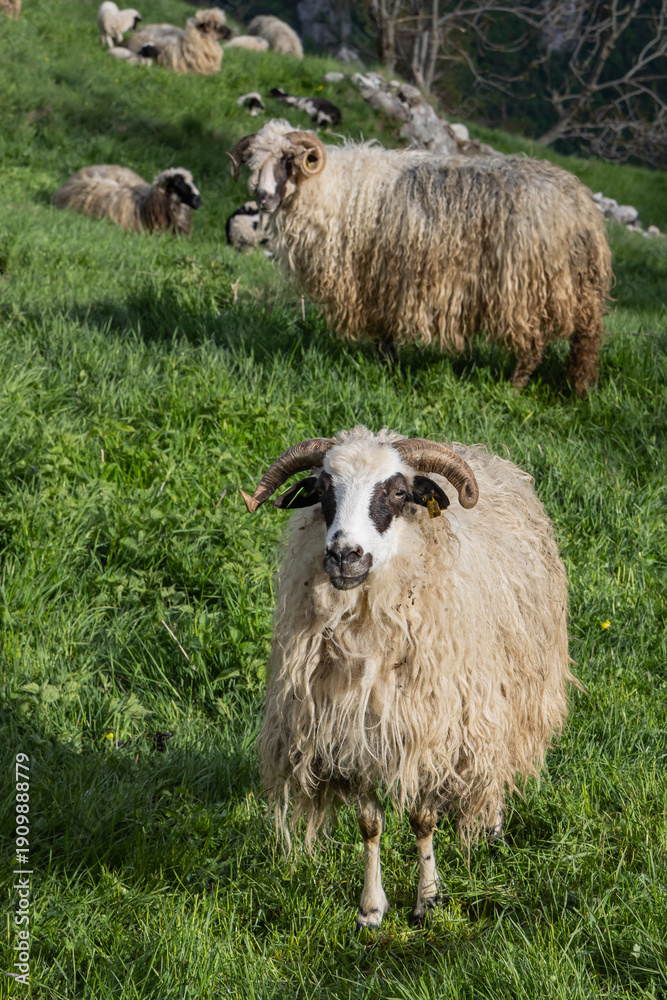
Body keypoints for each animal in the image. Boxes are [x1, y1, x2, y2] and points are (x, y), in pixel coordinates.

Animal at [228, 120, 612, 396]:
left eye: (287, 160)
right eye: (253, 163)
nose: (263, 198)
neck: (332, 192)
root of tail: (579, 206)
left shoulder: (378, 280)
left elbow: (383, 333)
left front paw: (386, 366)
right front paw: (387, 365)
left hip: (521, 289)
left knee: (532, 345)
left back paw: (513, 388)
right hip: (577, 286)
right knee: (586, 338)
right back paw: (579, 388)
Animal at [241, 426, 575, 927]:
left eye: (398, 493)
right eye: (322, 490)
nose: (344, 556)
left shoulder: (432, 731)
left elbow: (422, 820)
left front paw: (427, 901)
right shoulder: (353, 737)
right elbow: (370, 825)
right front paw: (371, 909)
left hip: (505, 694)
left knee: (494, 761)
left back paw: (491, 827)